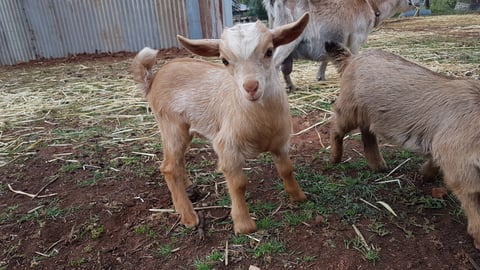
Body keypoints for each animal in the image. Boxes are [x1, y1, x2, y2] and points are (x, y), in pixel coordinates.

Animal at [132, 13, 312, 234]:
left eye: (269, 51)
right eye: (224, 60)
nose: (251, 87)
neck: (262, 121)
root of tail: (154, 77)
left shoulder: (280, 142)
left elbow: (286, 169)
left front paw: (299, 196)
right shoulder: (227, 148)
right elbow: (238, 184)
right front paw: (244, 224)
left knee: (178, 161)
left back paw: (189, 188)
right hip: (170, 125)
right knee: (168, 167)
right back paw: (188, 216)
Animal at [322, 40, 480, 249]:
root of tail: (352, 58)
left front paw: (425, 174)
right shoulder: (459, 161)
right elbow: (472, 195)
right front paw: (478, 235)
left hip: (367, 113)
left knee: (367, 133)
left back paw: (378, 165)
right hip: (350, 108)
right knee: (336, 128)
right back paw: (335, 158)